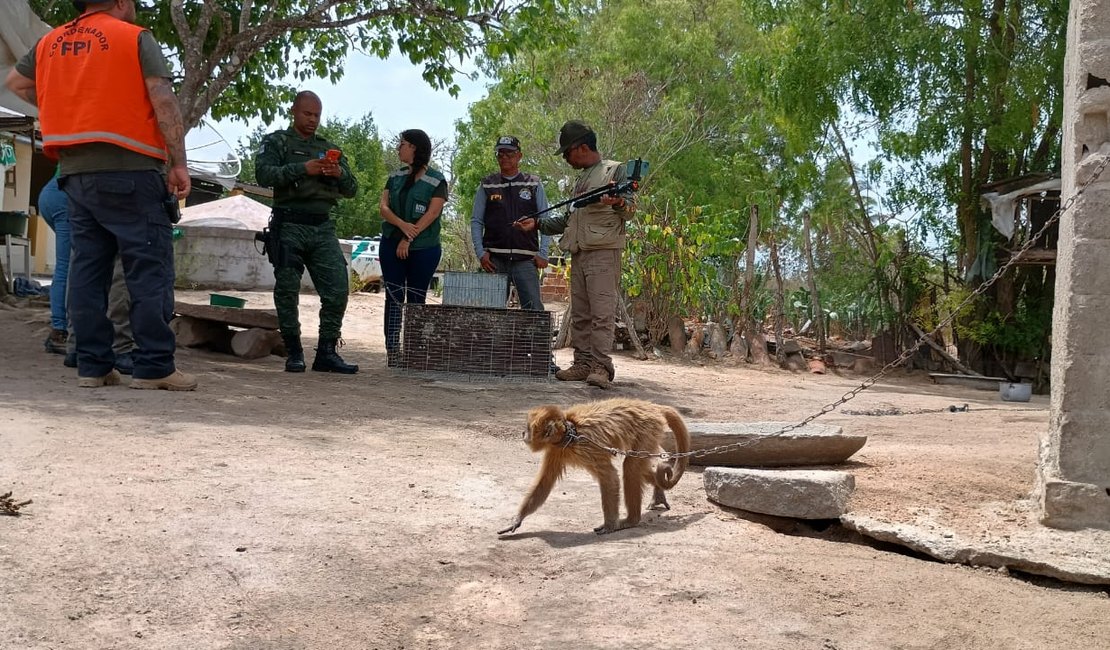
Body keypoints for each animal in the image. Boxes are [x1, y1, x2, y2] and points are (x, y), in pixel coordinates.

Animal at [499, 397, 688, 534]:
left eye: (528, 428)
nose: (523, 433)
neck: (570, 435)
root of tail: (650, 407)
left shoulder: (586, 446)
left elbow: (610, 478)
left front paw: (609, 525)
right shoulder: (556, 450)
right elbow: (544, 483)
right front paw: (518, 519)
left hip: (648, 429)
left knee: (631, 465)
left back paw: (631, 520)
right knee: (636, 465)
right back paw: (658, 492)